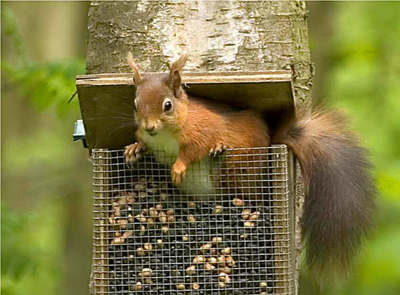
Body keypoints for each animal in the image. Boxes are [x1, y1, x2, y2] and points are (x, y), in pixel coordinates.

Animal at [124, 53, 376, 278]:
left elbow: (193, 150)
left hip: (237, 170)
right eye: (135, 104)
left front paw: (178, 167)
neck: (164, 135)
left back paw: (220, 153)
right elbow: (145, 145)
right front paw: (135, 148)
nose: (149, 127)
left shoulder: (203, 130)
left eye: (167, 105)